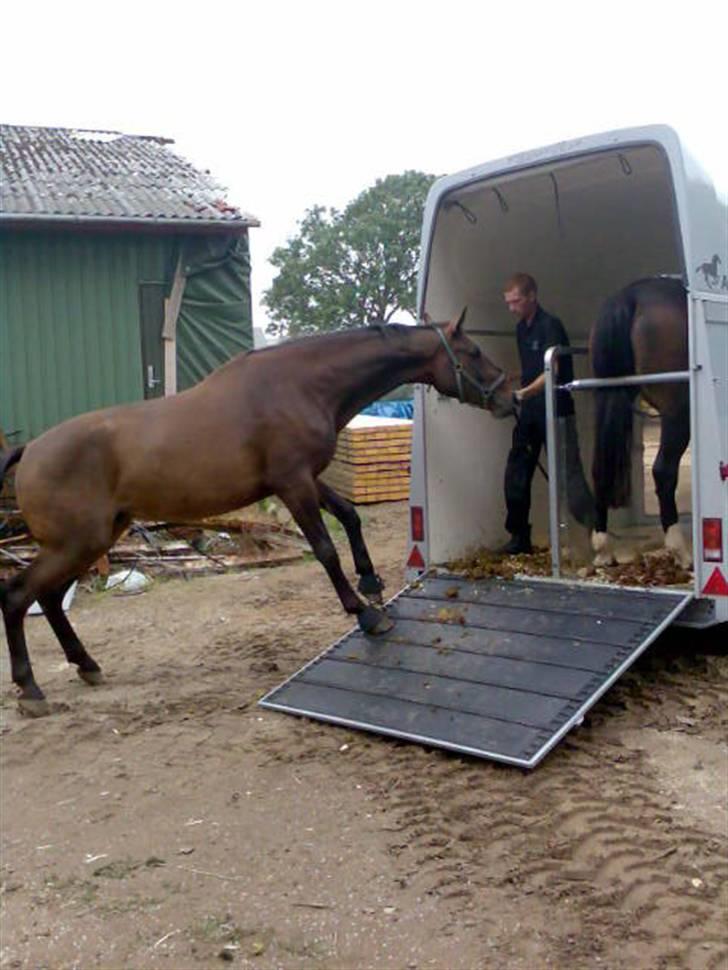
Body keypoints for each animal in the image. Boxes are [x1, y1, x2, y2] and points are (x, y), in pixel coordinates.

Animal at [0, 314, 512, 716]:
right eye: (473, 351)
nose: (511, 396)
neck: (299, 385)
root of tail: (30, 451)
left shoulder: (304, 479)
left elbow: (349, 516)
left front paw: (371, 584)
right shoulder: (293, 485)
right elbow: (325, 549)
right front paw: (366, 615)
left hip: (95, 539)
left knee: (48, 600)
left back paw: (86, 665)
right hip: (77, 544)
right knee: (18, 596)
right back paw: (31, 690)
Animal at [588, 278, 692, 568]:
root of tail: (630, 295)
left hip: (608, 397)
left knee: (599, 469)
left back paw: (603, 550)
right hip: (678, 412)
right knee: (664, 471)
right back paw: (681, 551)